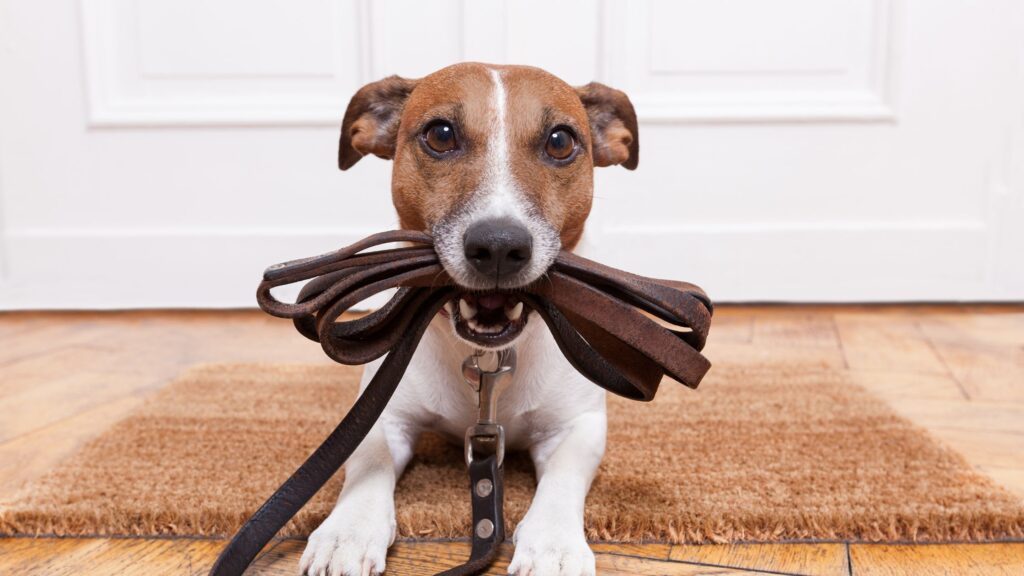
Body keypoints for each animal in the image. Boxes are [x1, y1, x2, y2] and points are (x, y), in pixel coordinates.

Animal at [299, 62, 638, 573]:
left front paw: (554, 543)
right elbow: (367, 460)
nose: (498, 246)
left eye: (560, 141)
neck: (487, 357)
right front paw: (347, 532)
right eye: (440, 134)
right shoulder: (383, 414)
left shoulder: (578, 425)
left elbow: (563, 478)